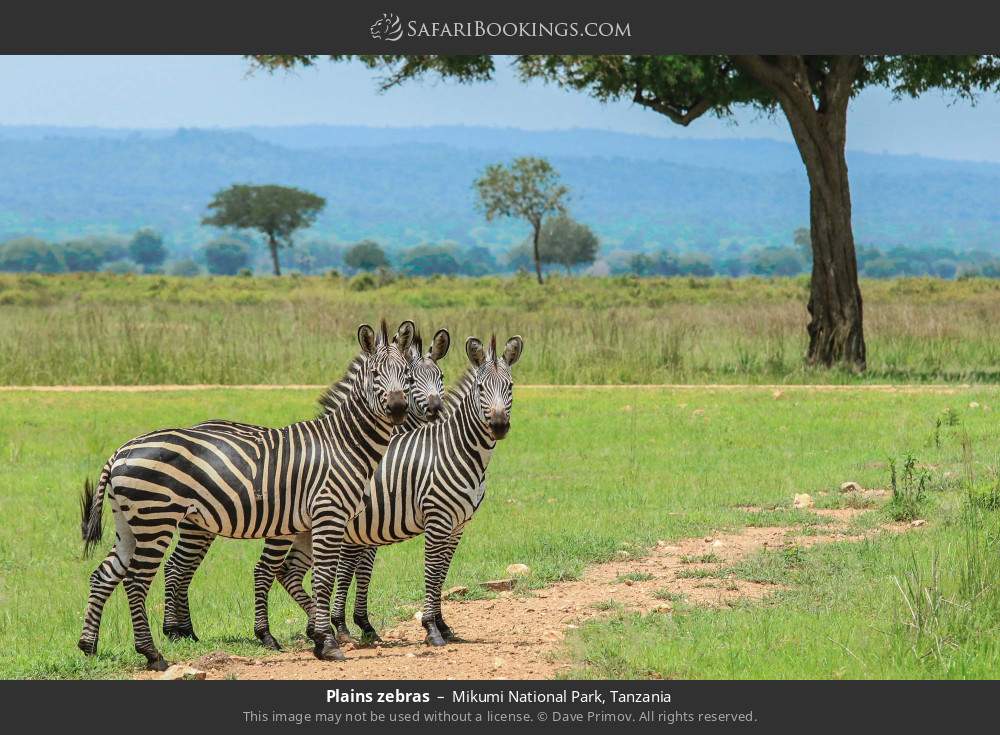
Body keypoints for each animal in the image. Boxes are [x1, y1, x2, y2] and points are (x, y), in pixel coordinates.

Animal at [77, 319, 415, 669]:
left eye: (406, 374)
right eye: (375, 374)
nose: (398, 408)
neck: (345, 443)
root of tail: (122, 451)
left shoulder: (309, 523)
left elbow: (305, 576)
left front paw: (320, 638)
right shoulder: (329, 515)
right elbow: (323, 578)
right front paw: (329, 642)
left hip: (128, 524)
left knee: (104, 575)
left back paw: (89, 646)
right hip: (155, 520)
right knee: (136, 581)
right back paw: (152, 653)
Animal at [159, 328, 452, 650]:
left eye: (440, 376)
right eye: (412, 379)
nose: (436, 410)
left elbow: (352, 570)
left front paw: (340, 626)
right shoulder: (357, 526)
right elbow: (351, 570)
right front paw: (347, 626)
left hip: (201, 525)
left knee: (180, 567)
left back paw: (186, 631)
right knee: (183, 567)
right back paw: (178, 631)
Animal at [277, 333, 523, 646]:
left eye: (510, 386)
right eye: (481, 387)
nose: (500, 425)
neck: (459, 449)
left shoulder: (457, 525)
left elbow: (441, 573)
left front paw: (442, 626)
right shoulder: (435, 519)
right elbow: (429, 571)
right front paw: (430, 628)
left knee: (288, 571)